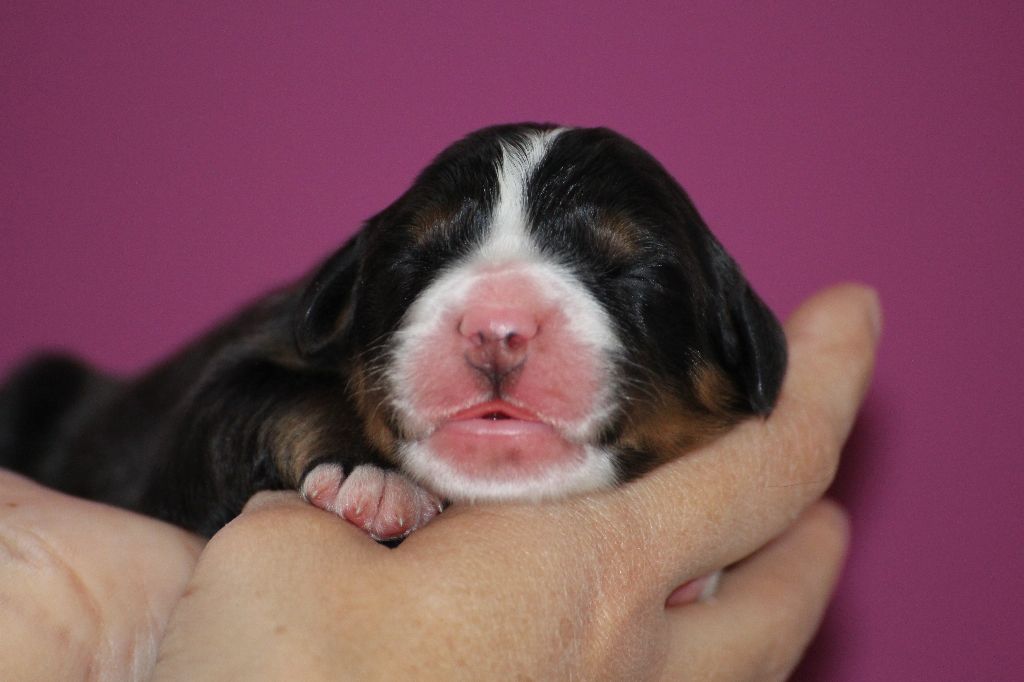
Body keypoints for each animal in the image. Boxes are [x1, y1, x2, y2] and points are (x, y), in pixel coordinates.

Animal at [0, 120, 786, 536]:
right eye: (418, 255)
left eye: (633, 271)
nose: (496, 328)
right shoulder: (215, 394)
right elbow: (273, 398)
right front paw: (377, 477)